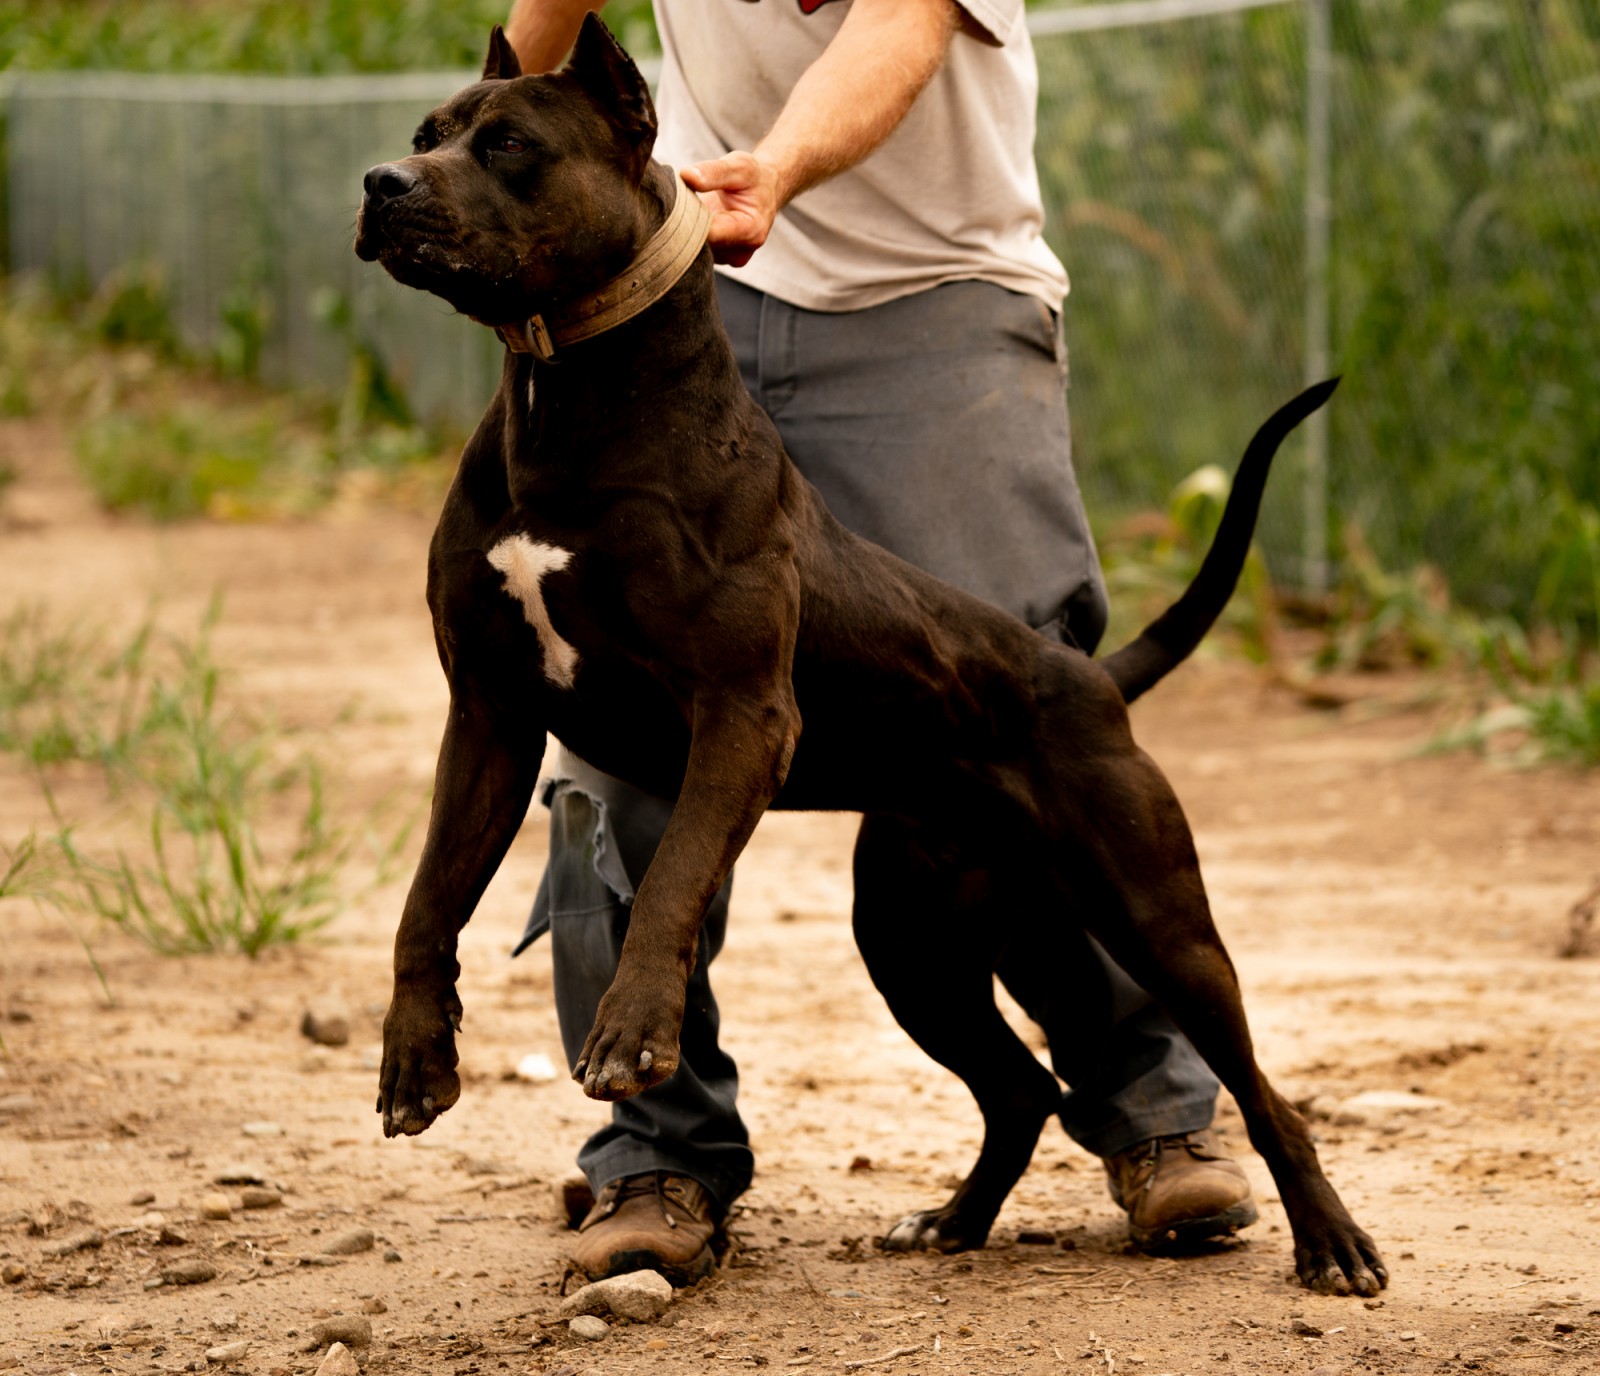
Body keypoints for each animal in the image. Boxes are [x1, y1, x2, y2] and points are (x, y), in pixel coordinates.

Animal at [356, 16, 1382, 1292]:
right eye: (425, 135)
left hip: (1156, 916)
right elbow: (426, 897)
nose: (380, 184)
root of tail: (1092, 678)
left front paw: (633, 1030)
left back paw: (1327, 1240)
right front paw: (414, 1055)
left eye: (506, 144)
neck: (563, 391)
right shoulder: (490, 715)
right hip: (917, 939)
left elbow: (671, 880)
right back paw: (951, 1219)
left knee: (1255, 1087)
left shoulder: (740, 710)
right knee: (1022, 1086)